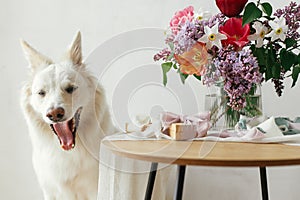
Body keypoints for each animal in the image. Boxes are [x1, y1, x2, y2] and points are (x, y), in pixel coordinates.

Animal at [20, 32, 116, 199]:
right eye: (41, 93)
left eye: (70, 88)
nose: (54, 114)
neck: (69, 153)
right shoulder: (50, 191)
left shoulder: (94, 190)